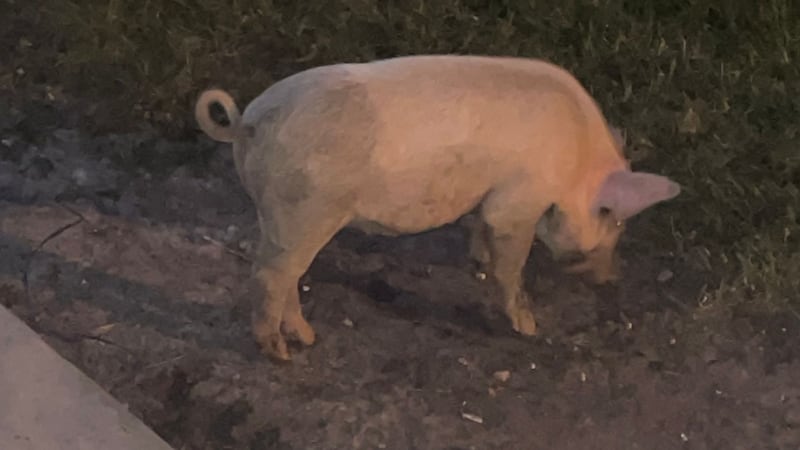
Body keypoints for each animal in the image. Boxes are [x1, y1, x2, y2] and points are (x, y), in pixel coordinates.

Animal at [194, 55, 681, 361]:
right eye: (614, 221)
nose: (611, 278)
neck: (576, 164)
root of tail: (248, 122)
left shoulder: (487, 197)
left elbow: (480, 228)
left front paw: (478, 260)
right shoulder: (519, 198)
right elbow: (511, 262)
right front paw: (529, 327)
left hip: (280, 213)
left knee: (287, 274)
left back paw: (308, 339)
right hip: (305, 209)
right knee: (270, 276)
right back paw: (282, 354)